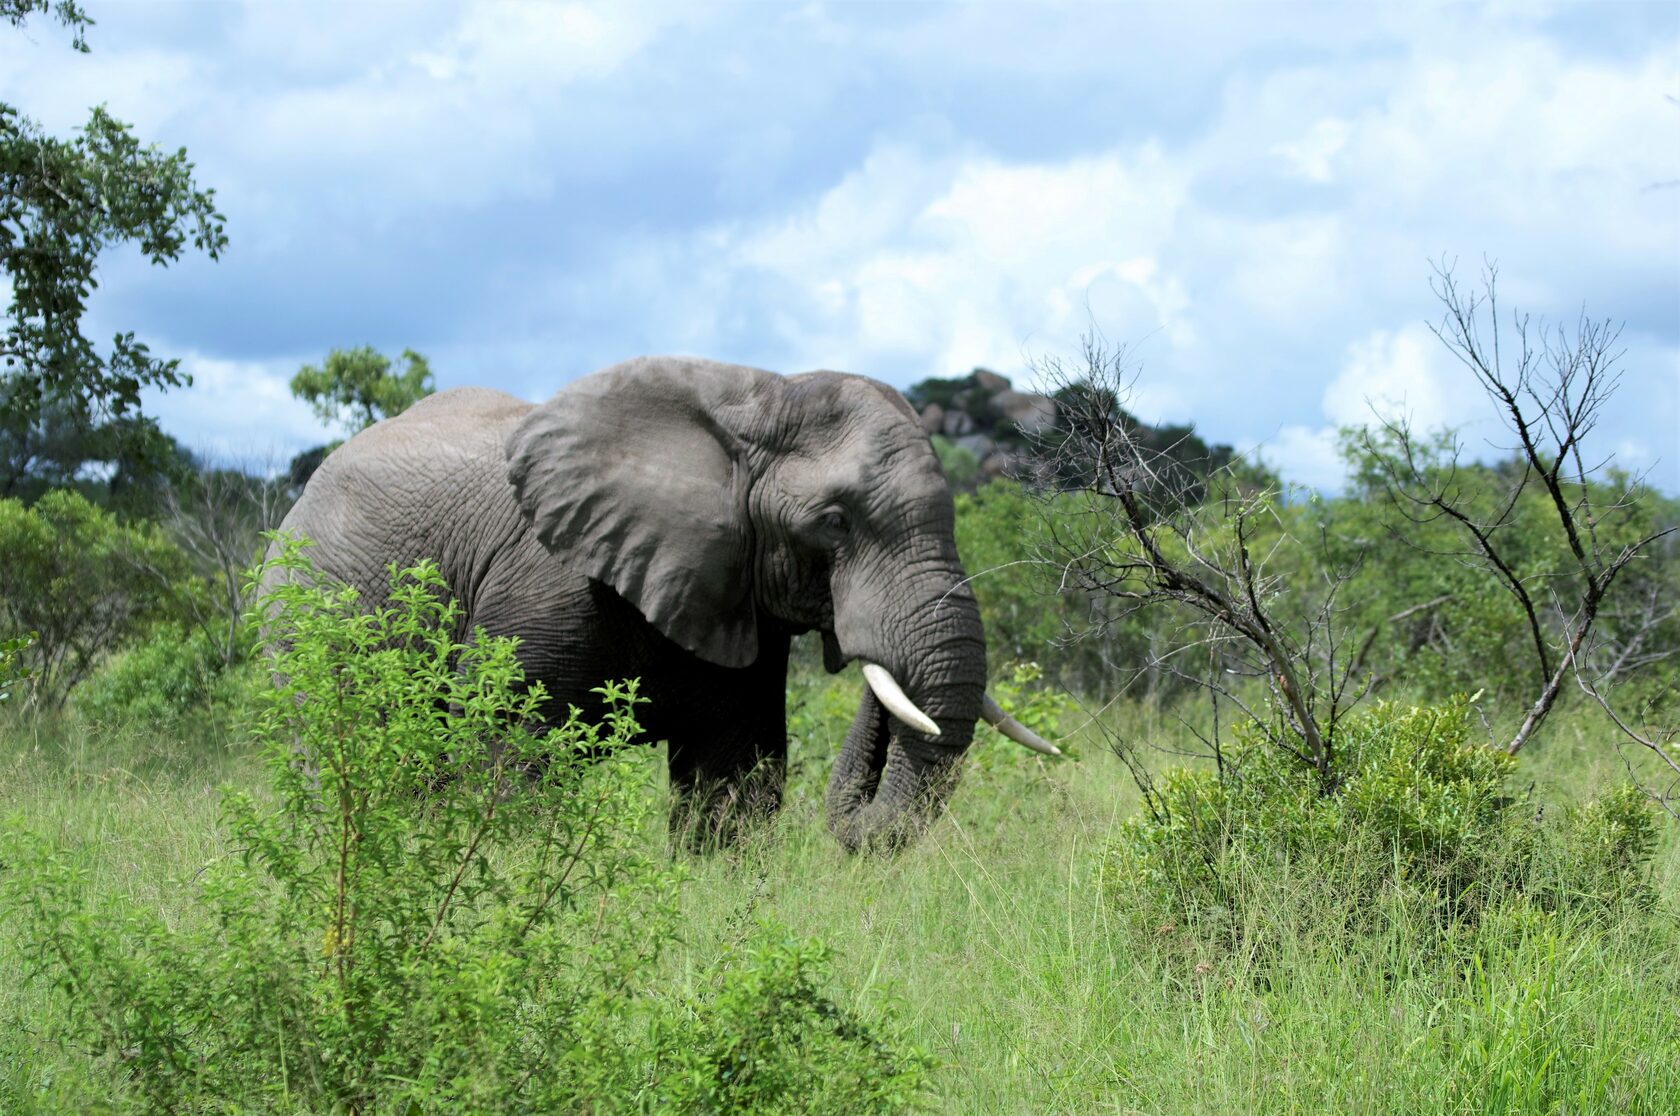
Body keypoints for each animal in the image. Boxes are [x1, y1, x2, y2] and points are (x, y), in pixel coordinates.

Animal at [268, 352, 1055, 850]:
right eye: (834, 523)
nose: (857, 642)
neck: (753, 399)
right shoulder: (542, 586)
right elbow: (510, 759)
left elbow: (731, 774)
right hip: (304, 616)